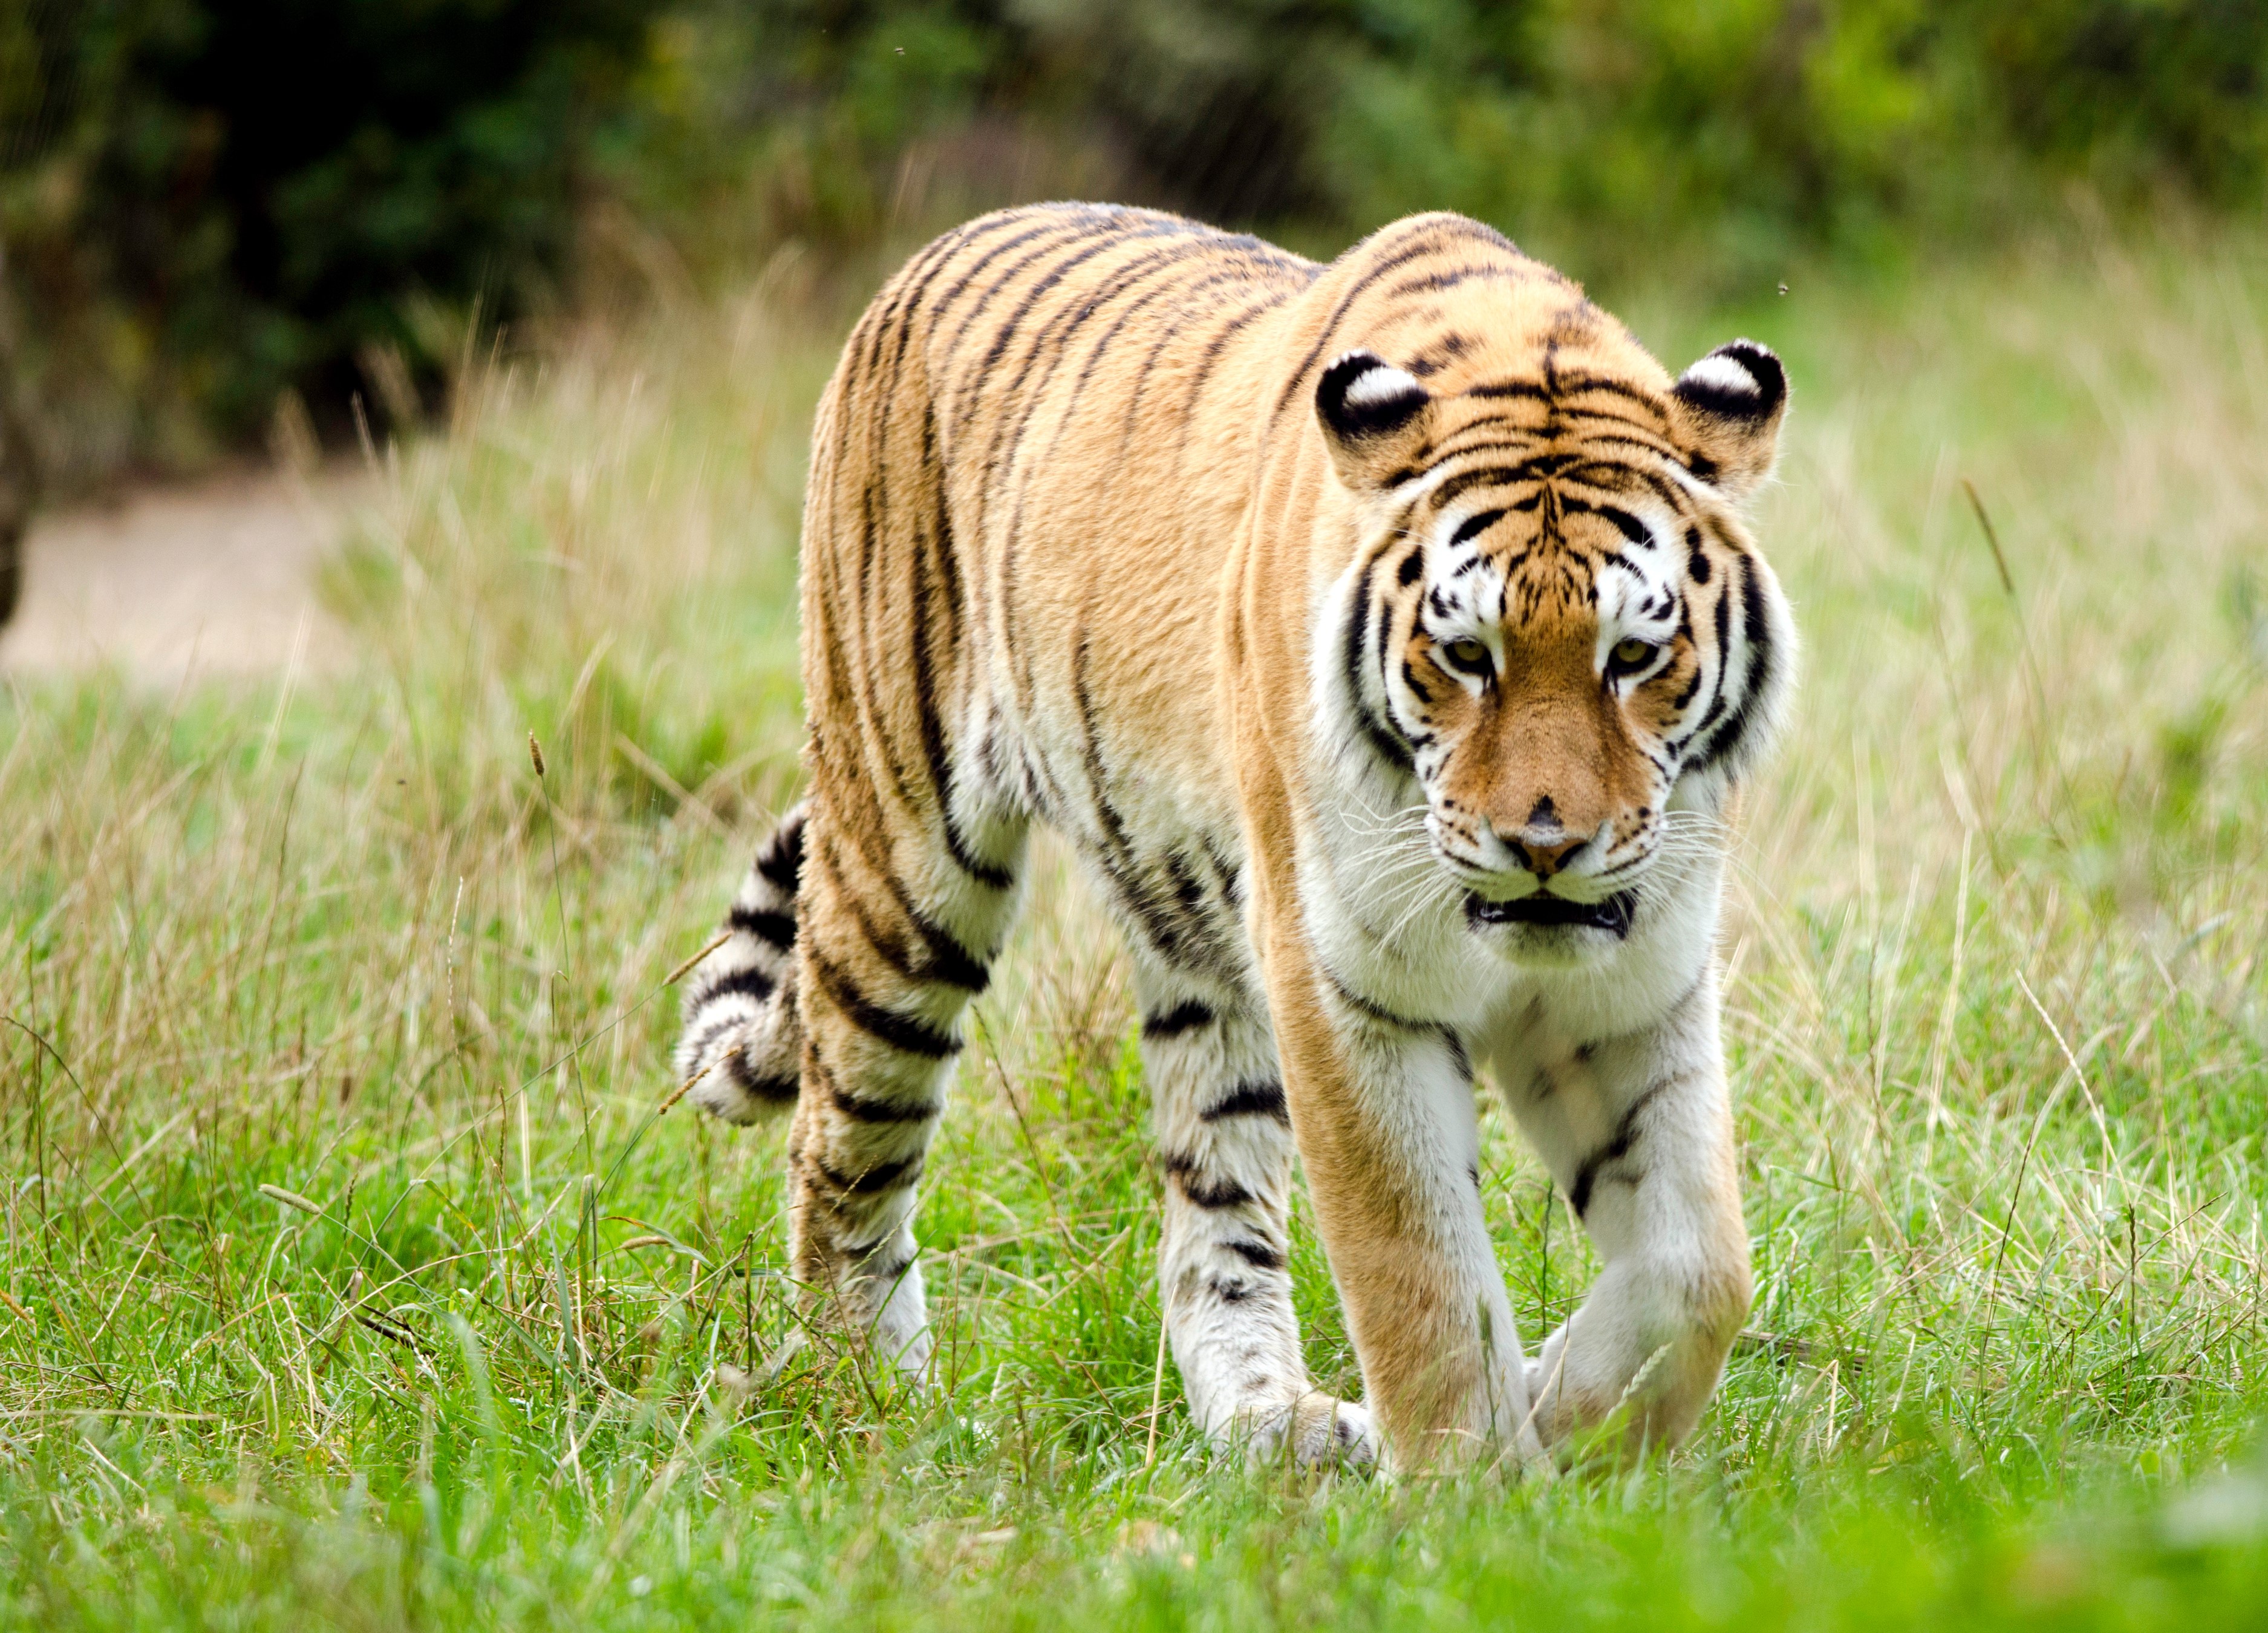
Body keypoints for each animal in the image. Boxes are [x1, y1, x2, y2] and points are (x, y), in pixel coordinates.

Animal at [674, 201, 1792, 1472]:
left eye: (1635, 657)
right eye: (1467, 657)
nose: (1545, 848)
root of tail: (930, 255)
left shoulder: (1635, 986)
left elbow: (1695, 1271)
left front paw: (1558, 1409)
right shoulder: (1344, 991)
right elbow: (1421, 1279)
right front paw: (1475, 1488)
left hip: (1200, 954)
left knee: (1208, 1224)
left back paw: (1275, 1424)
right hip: (905, 878)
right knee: (839, 1149)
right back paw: (875, 1412)